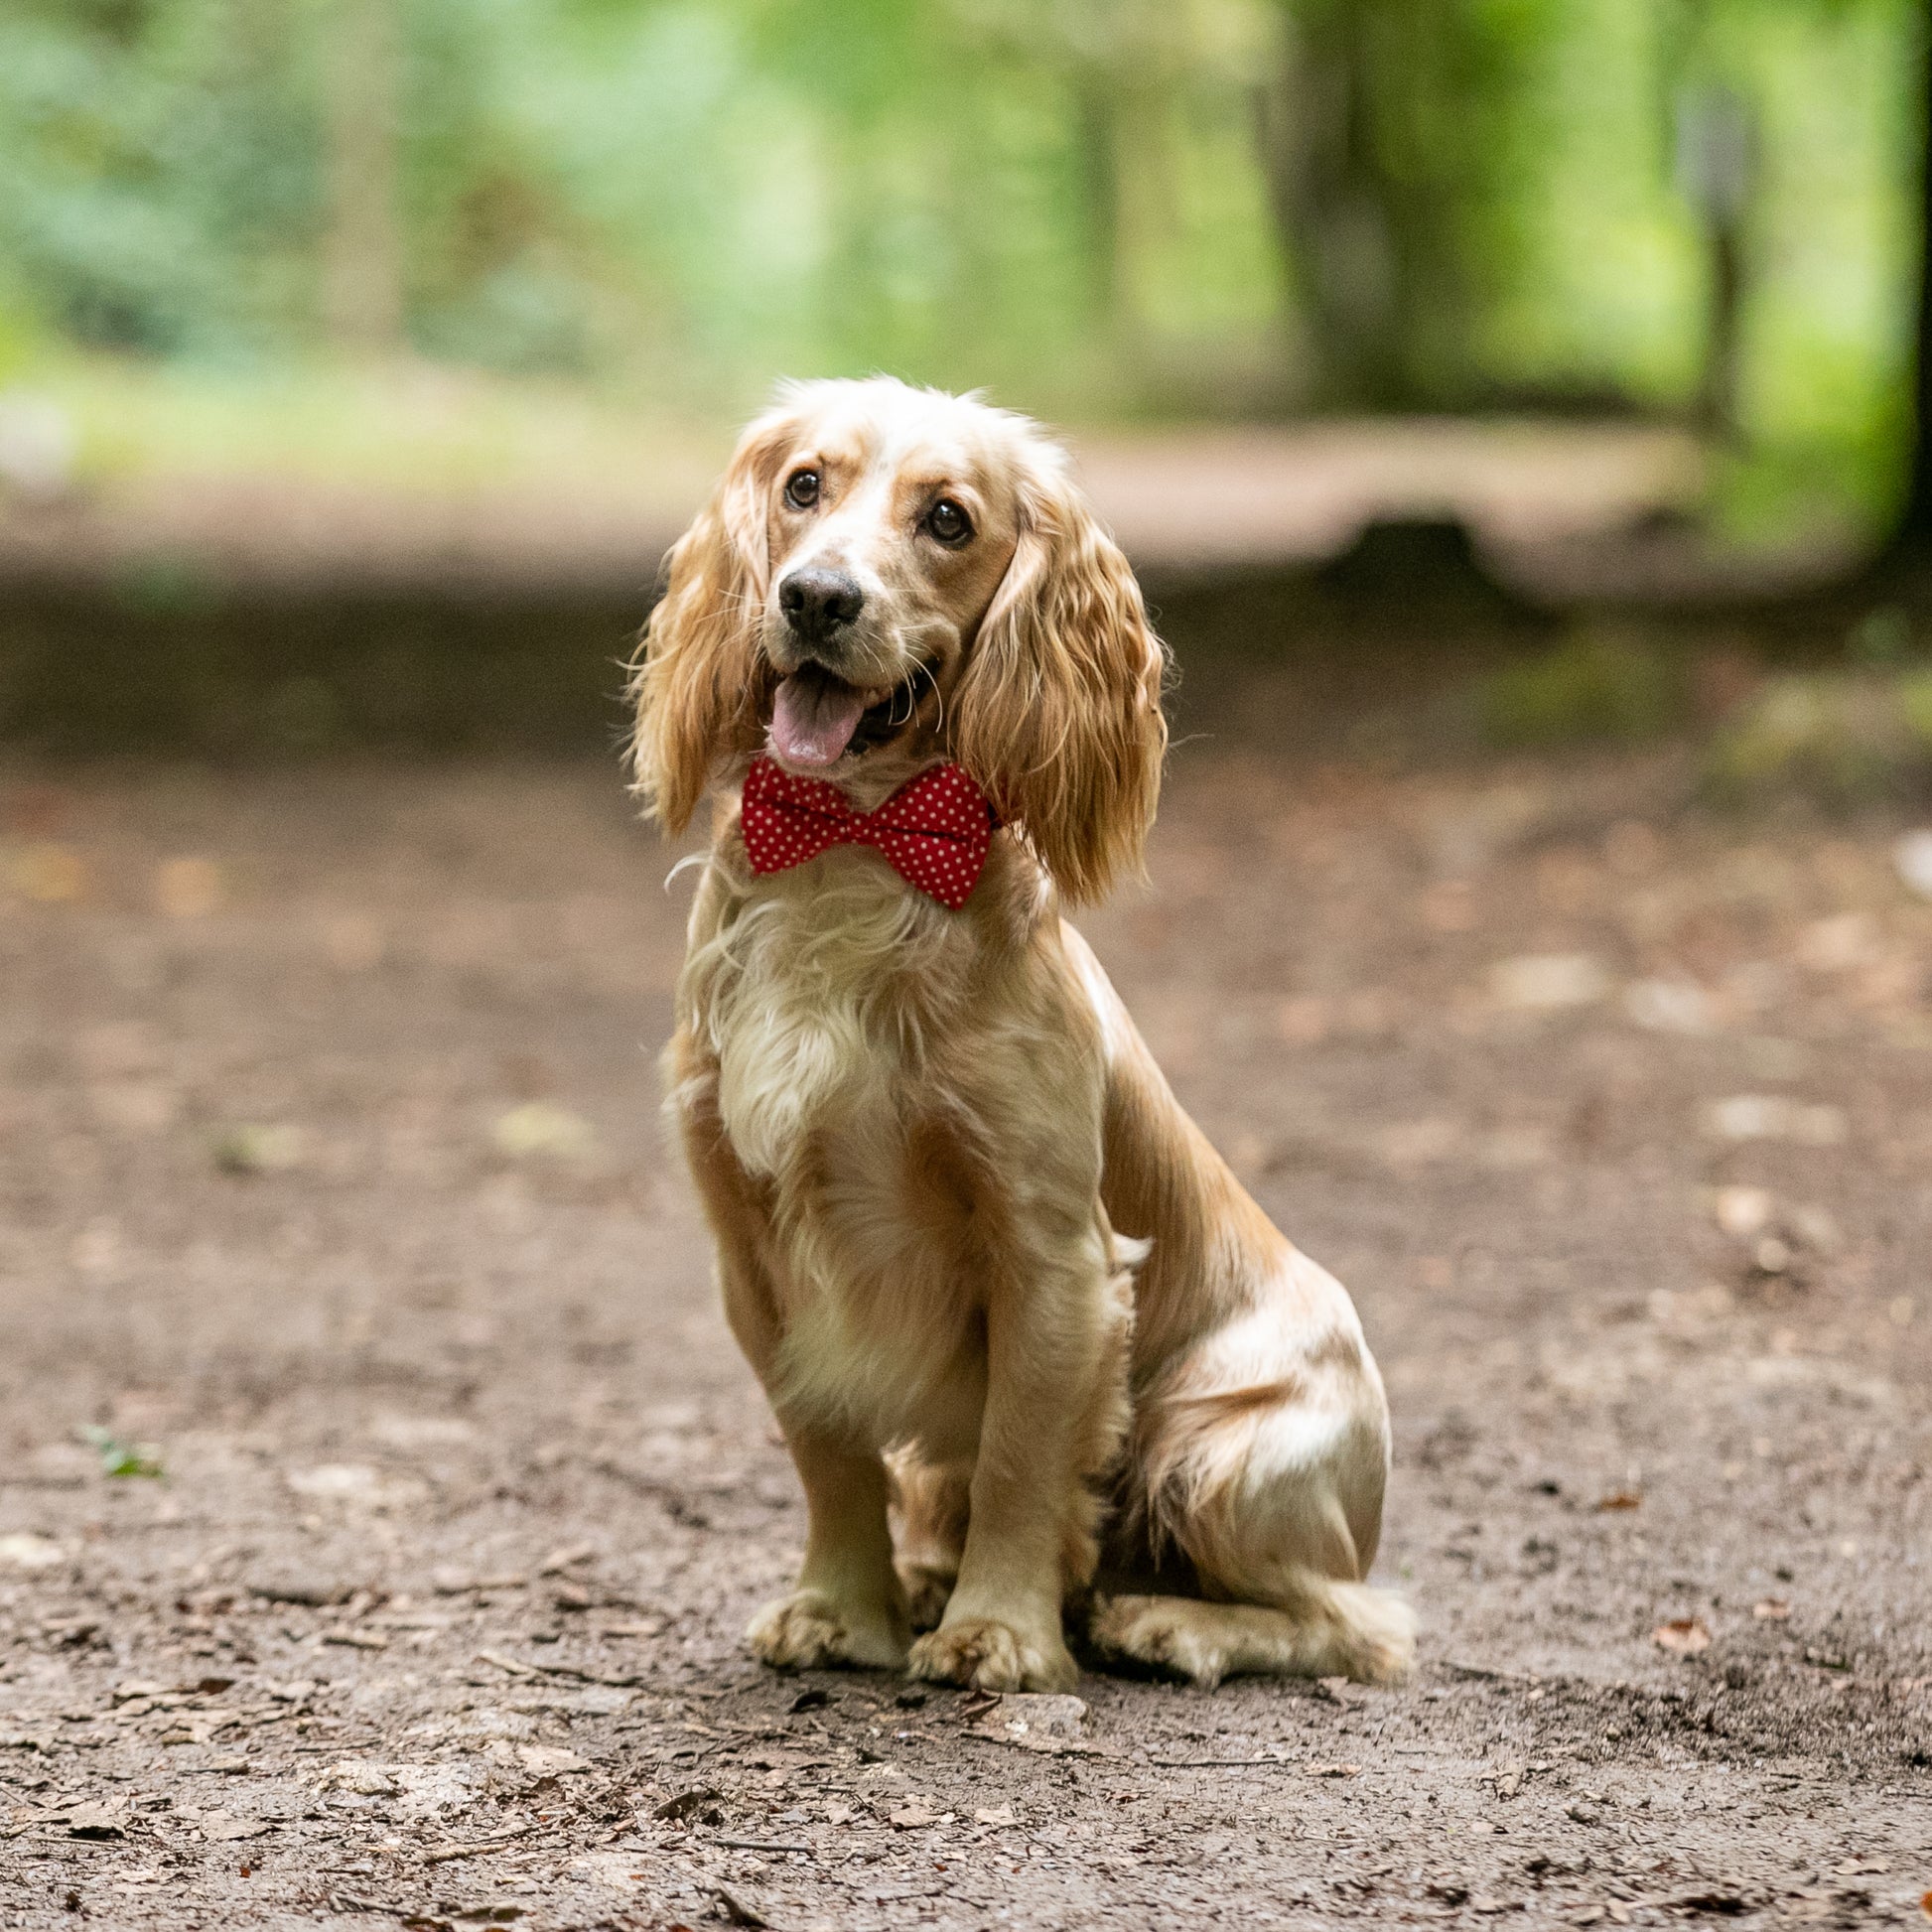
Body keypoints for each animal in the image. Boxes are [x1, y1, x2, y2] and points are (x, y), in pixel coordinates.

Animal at [625, 376, 1414, 1692]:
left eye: (946, 518)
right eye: (802, 486)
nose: (815, 596)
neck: (855, 843)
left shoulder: (1052, 1256)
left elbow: (1018, 1457)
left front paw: (996, 1631)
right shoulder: (755, 1250)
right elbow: (827, 1453)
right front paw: (842, 1606)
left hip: (1218, 1452)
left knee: (1355, 1620)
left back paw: (1167, 1621)